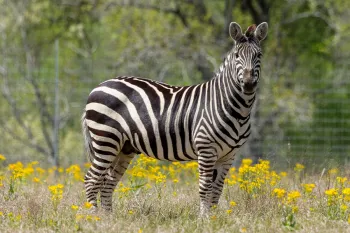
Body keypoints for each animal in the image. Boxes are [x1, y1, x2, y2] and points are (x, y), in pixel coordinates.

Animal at [81, 21, 268, 217]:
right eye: (237, 55)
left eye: (259, 55)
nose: (248, 84)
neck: (236, 109)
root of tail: (99, 86)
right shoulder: (206, 148)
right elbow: (205, 187)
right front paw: (204, 219)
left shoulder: (229, 154)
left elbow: (217, 189)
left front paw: (215, 218)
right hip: (106, 139)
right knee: (91, 180)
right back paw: (94, 217)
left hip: (123, 147)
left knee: (107, 182)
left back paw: (108, 218)